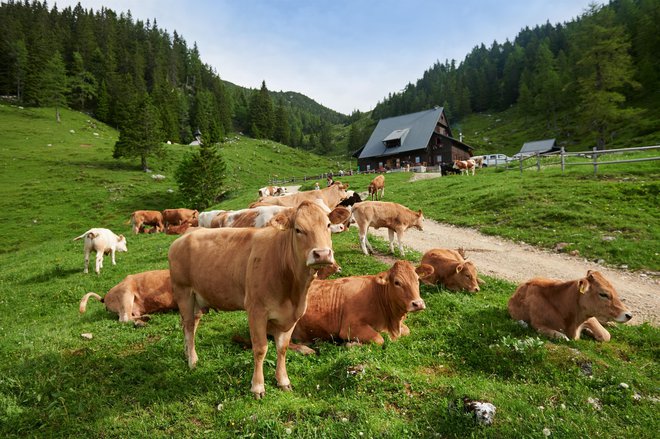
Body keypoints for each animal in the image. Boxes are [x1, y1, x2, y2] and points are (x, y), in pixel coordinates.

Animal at [168, 201, 338, 400]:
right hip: (183, 291)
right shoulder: (256, 310)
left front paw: (283, 381)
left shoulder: (291, 315)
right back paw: (192, 361)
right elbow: (260, 348)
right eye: (298, 229)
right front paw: (257, 387)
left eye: (328, 225)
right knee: (188, 325)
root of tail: (186, 235)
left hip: (197, 298)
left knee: (191, 324)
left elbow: (282, 347)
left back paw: (187, 353)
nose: (322, 254)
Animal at [288, 262, 434, 354]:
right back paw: (306, 349)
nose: (418, 303)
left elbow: (407, 330)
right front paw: (350, 344)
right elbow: (379, 339)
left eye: (417, 279)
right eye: (397, 282)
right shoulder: (350, 327)